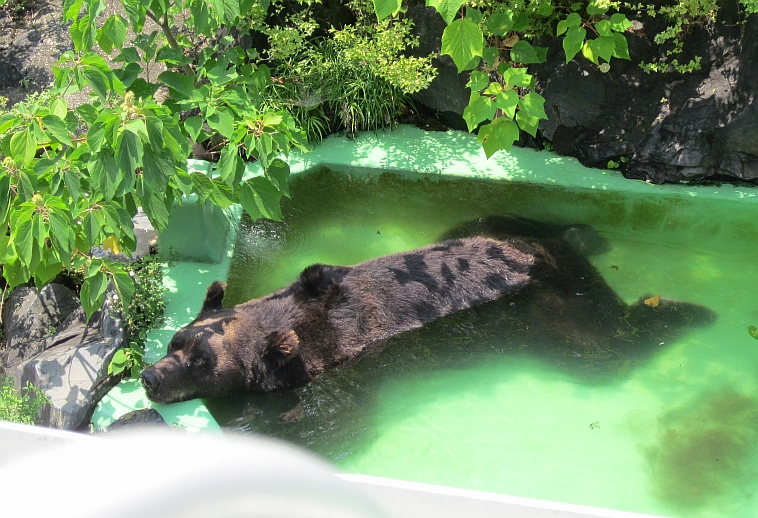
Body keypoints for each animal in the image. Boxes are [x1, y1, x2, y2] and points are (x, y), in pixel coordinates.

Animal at [141, 219, 716, 404]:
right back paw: (587, 233)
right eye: (176, 341)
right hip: (497, 230)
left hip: (544, 313)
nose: (150, 376)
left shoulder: (328, 361)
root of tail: (543, 261)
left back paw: (686, 310)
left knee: (600, 346)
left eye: (201, 364)